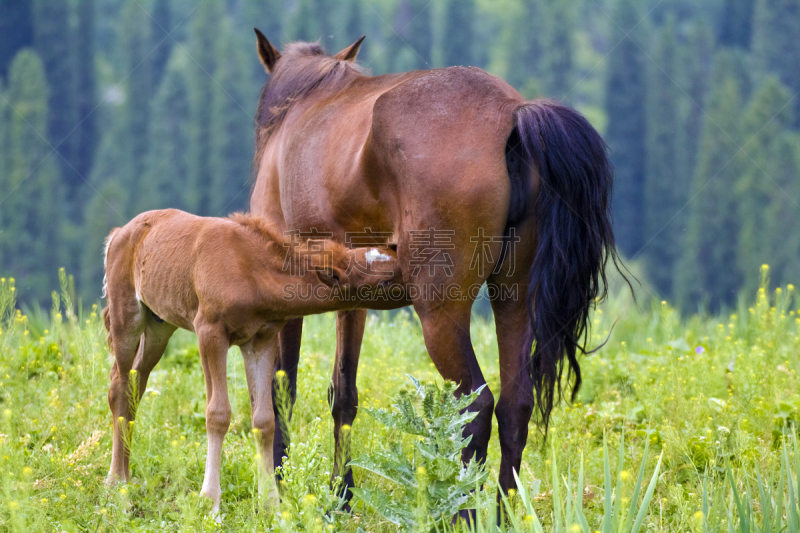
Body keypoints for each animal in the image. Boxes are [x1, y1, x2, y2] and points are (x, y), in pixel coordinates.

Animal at [102, 209, 396, 512]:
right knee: (119, 387)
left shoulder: (261, 340)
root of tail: (119, 234)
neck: (252, 269)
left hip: (159, 326)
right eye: (385, 280)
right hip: (127, 317)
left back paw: (126, 479)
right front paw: (211, 503)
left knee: (135, 387)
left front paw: (271, 505)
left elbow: (265, 420)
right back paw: (116, 485)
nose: (398, 257)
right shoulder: (209, 332)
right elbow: (217, 413)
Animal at [250, 31, 620, 500]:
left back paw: (463, 509)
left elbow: (283, 388)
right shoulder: (352, 300)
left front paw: (279, 486)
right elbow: (343, 393)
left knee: (476, 407)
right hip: (514, 300)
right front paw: (341, 497)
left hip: (440, 312)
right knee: (515, 405)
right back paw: (501, 509)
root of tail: (511, 113)